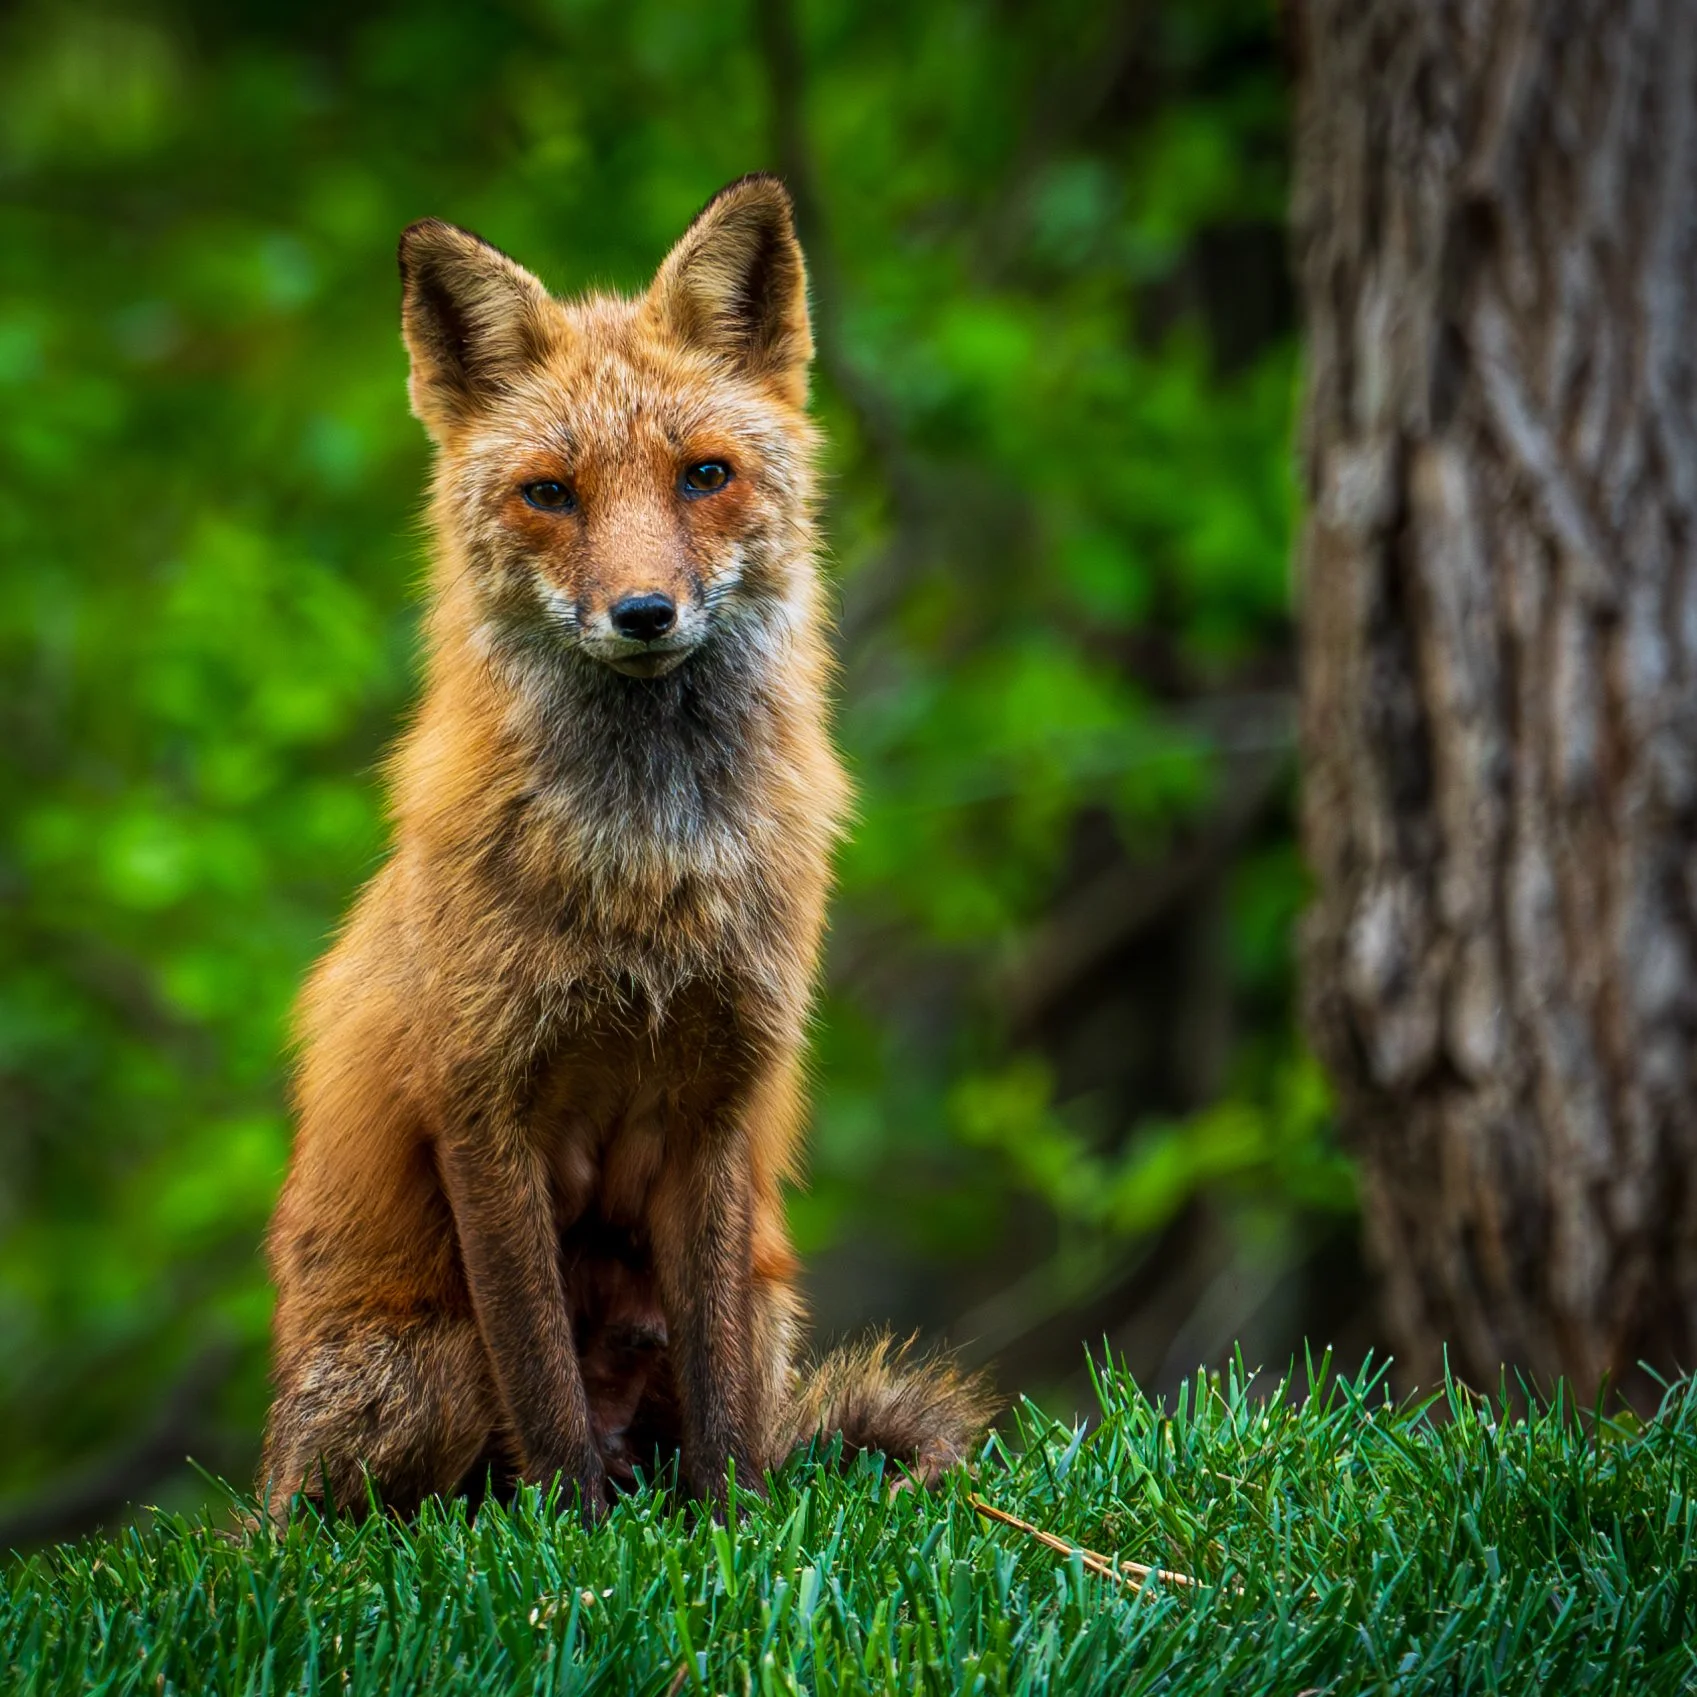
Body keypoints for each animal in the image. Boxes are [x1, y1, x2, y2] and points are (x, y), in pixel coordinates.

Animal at [258, 174, 993, 1520]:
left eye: (703, 474)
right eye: (550, 492)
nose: (643, 613)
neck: (644, 867)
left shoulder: (718, 1097)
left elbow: (719, 1405)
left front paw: (733, 1532)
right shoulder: (481, 1106)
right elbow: (541, 1380)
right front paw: (576, 1542)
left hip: (769, 1306)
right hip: (425, 1372)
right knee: (361, 1520)